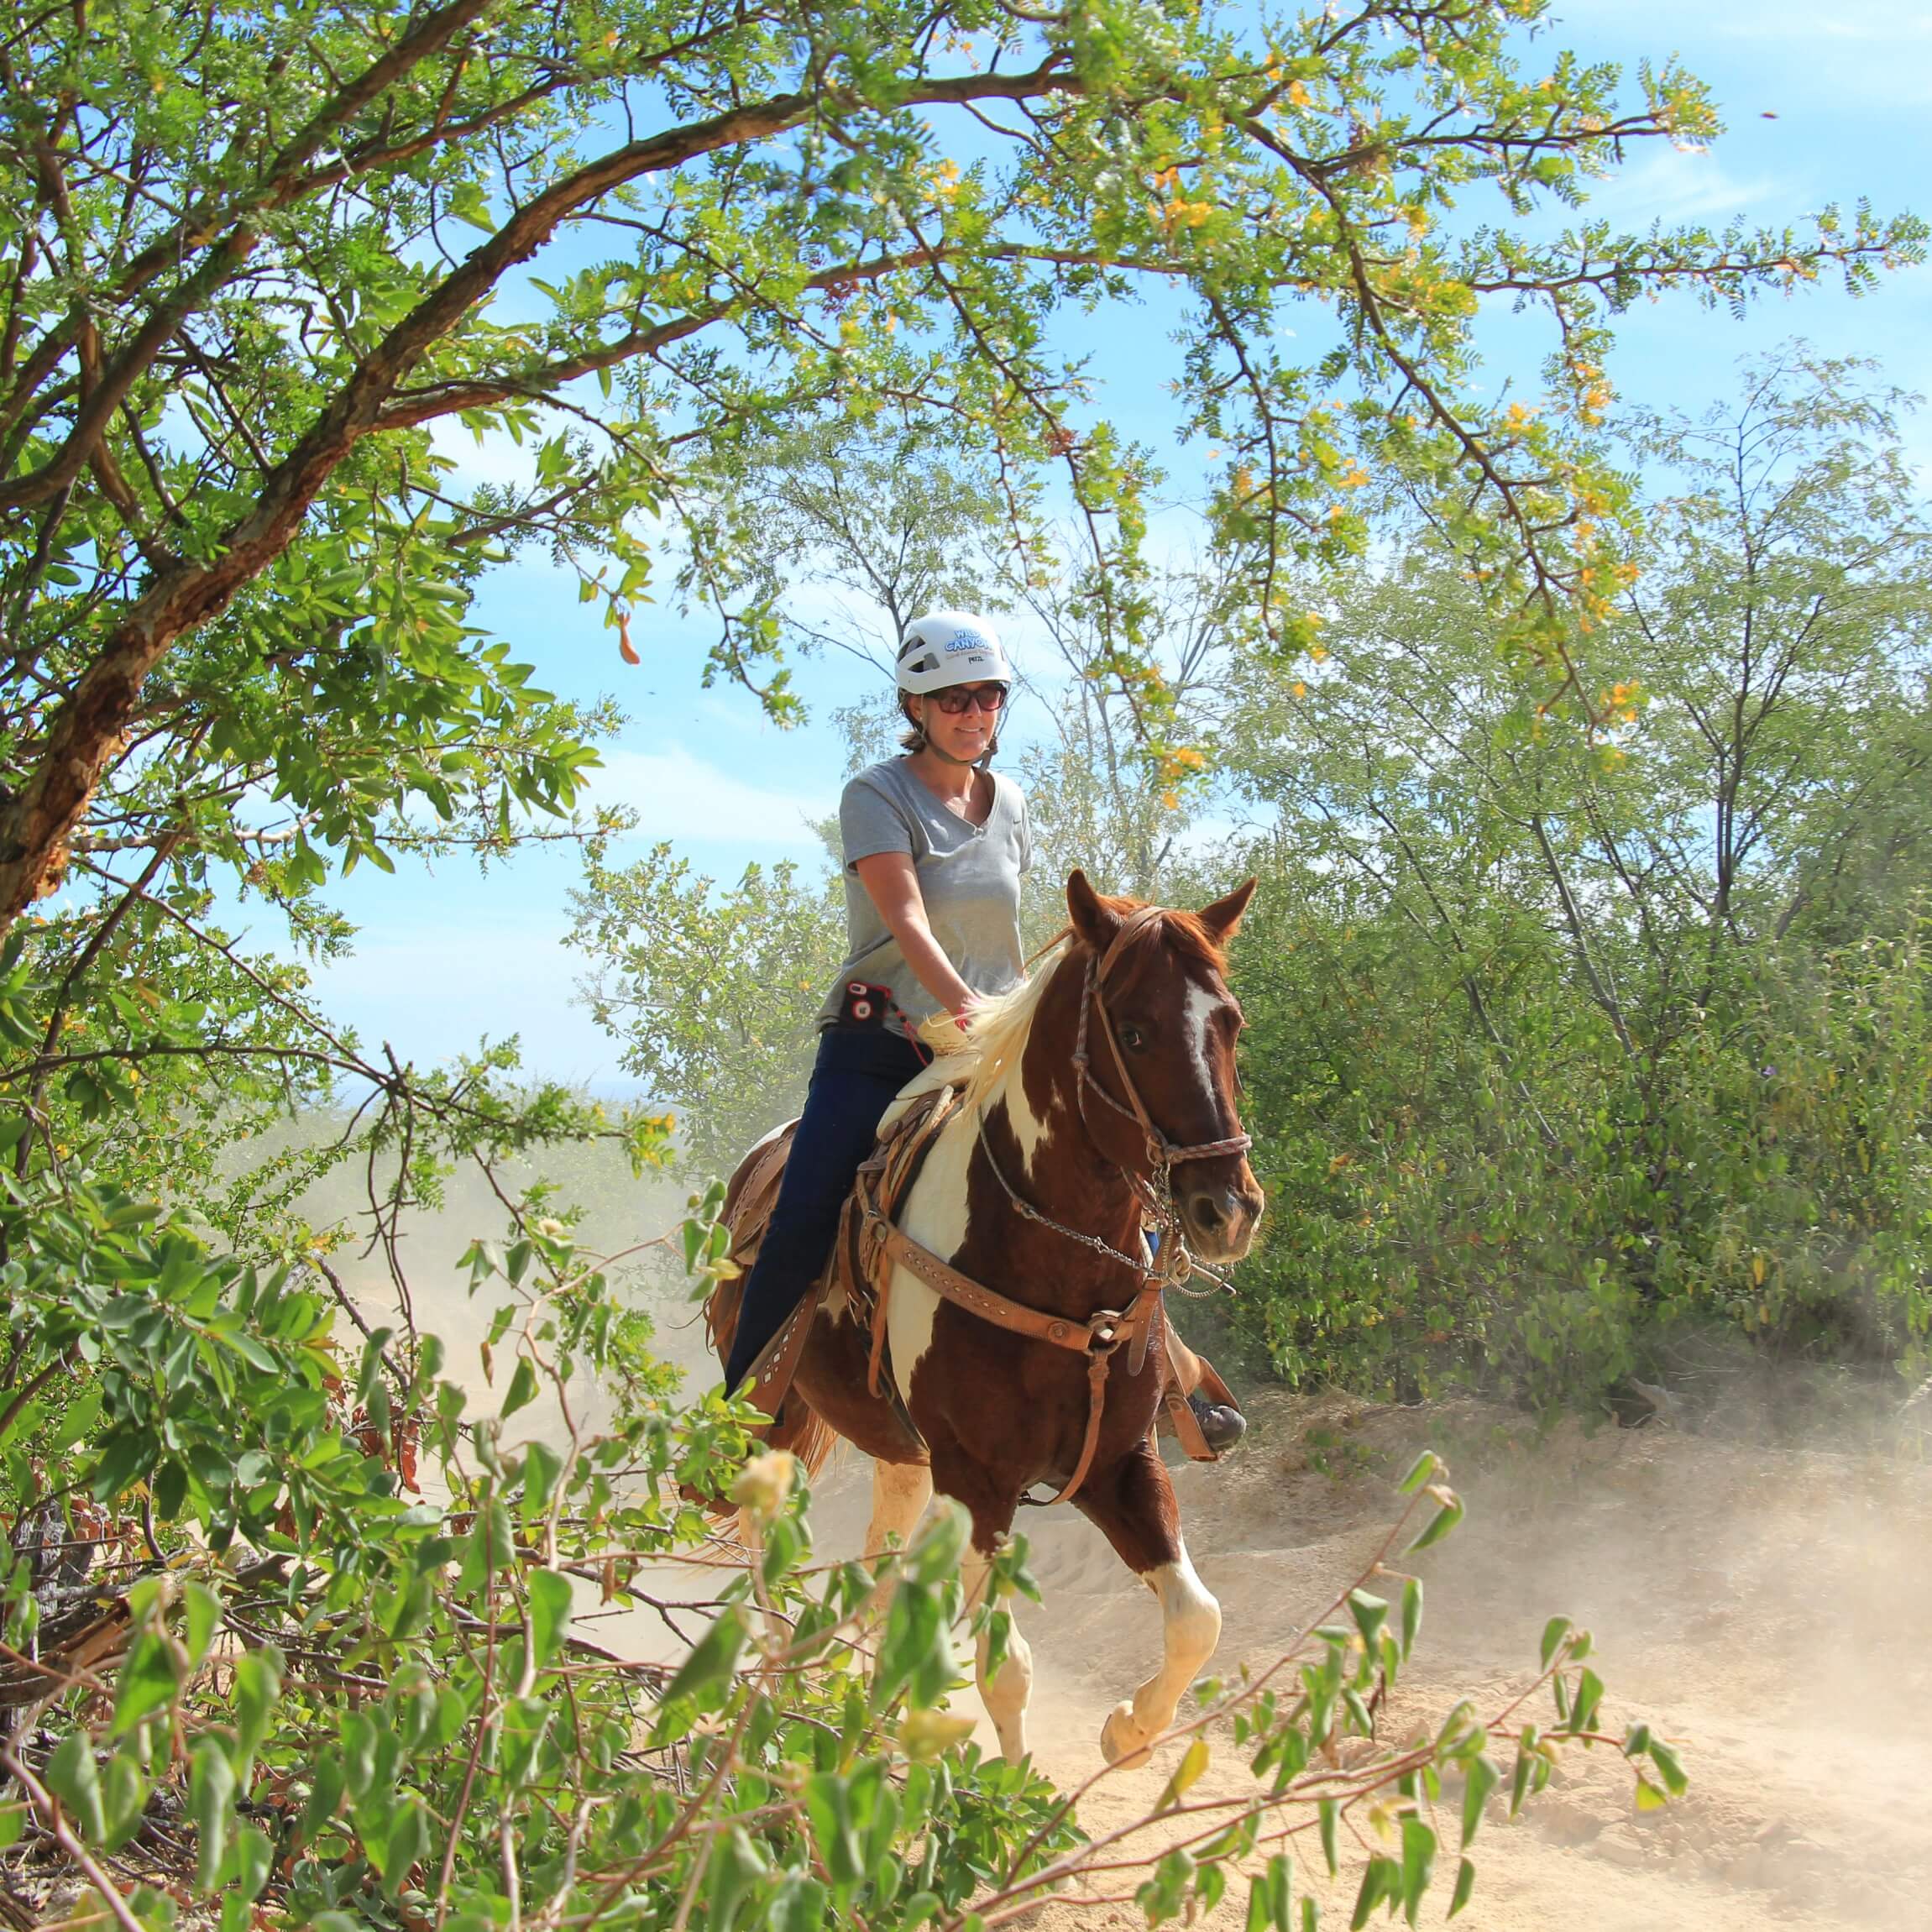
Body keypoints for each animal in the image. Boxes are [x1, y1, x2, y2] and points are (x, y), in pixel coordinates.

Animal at [718, 877, 1259, 1769]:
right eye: (1135, 1031)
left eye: (1229, 1022)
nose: (1228, 1209)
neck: (1054, 1268)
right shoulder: (978, 1482)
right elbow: (1005, 1665)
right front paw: (1010, 1793)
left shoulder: (1120, 1462)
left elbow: (1198, 1619)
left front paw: (1128, 1731)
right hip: (777, 1421)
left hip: (902, 1451)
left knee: (881, 1564)